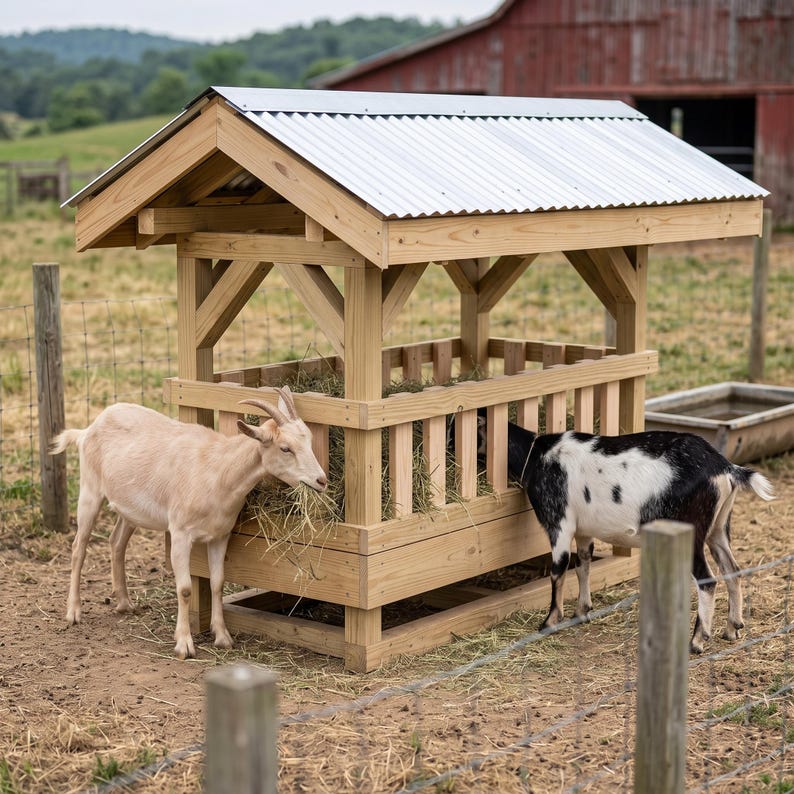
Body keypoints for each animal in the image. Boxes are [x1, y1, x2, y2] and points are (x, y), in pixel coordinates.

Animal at [49, 387, 327, 659]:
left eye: (309, 439)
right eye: (285, 448)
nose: (321, 480)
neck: (219, 470)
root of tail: (87, 430)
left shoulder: (220, 535)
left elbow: (217, 583)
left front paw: (223, 637)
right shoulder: (181, 533)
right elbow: (184, 589)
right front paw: (184, 644)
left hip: (130, 508)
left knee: (116, 542)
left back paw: (125, 603)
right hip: (89, 490)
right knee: (79, 547)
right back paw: (73, 613)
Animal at [474, 418, 774, 652]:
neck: (537, 454)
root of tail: (725, 468)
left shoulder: (559, 522)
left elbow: (558, 570)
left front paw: (549, 622)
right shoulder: (584, 531)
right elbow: (583, 564)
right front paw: (581, 611)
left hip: (692, 532)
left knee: (708, 580)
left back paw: (697, 641)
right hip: (718, 528)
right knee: (733, 570)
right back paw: (732, 628)